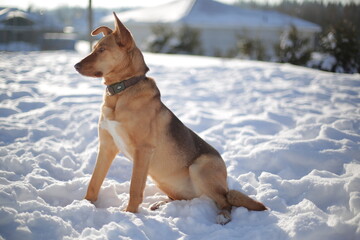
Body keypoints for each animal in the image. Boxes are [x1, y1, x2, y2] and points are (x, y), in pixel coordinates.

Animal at [74, 12, 266, 224]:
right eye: (94, 49)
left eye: (102, 50)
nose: (75, 66)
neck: (121, 91)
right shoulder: (107, 146)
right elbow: (94, 182)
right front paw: (85, 205)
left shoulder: (143, 150)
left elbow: (134, 189)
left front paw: (130, 215)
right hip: (163, 179)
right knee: (184, 197)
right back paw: (161, 204)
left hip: (198, 168)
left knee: (226, 200)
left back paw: (223, 216)